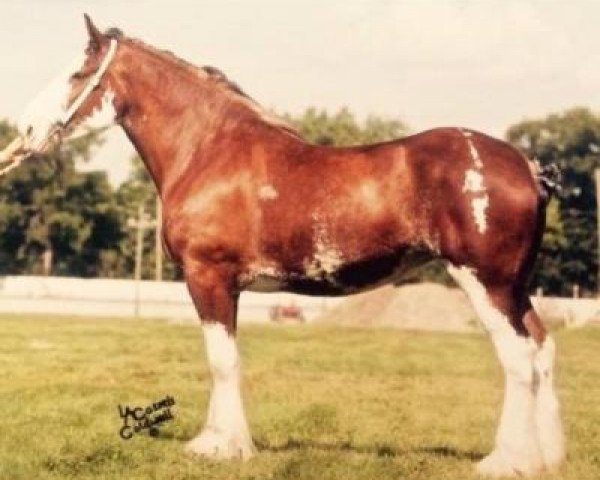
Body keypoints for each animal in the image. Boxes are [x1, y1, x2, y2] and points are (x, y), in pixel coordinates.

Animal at [1, 15, 564, 476]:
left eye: (78, 74)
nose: (25, 129)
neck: (208, 149)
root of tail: (527, 166)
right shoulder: (229, 286)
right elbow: (226, 359)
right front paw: (222, 441)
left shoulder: (208, 277)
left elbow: (221, 361)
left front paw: (221, 446)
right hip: (515, 288)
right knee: (541, 348)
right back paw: (548, 456)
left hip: (485, 282)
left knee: (517, 357)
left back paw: (506, 461)